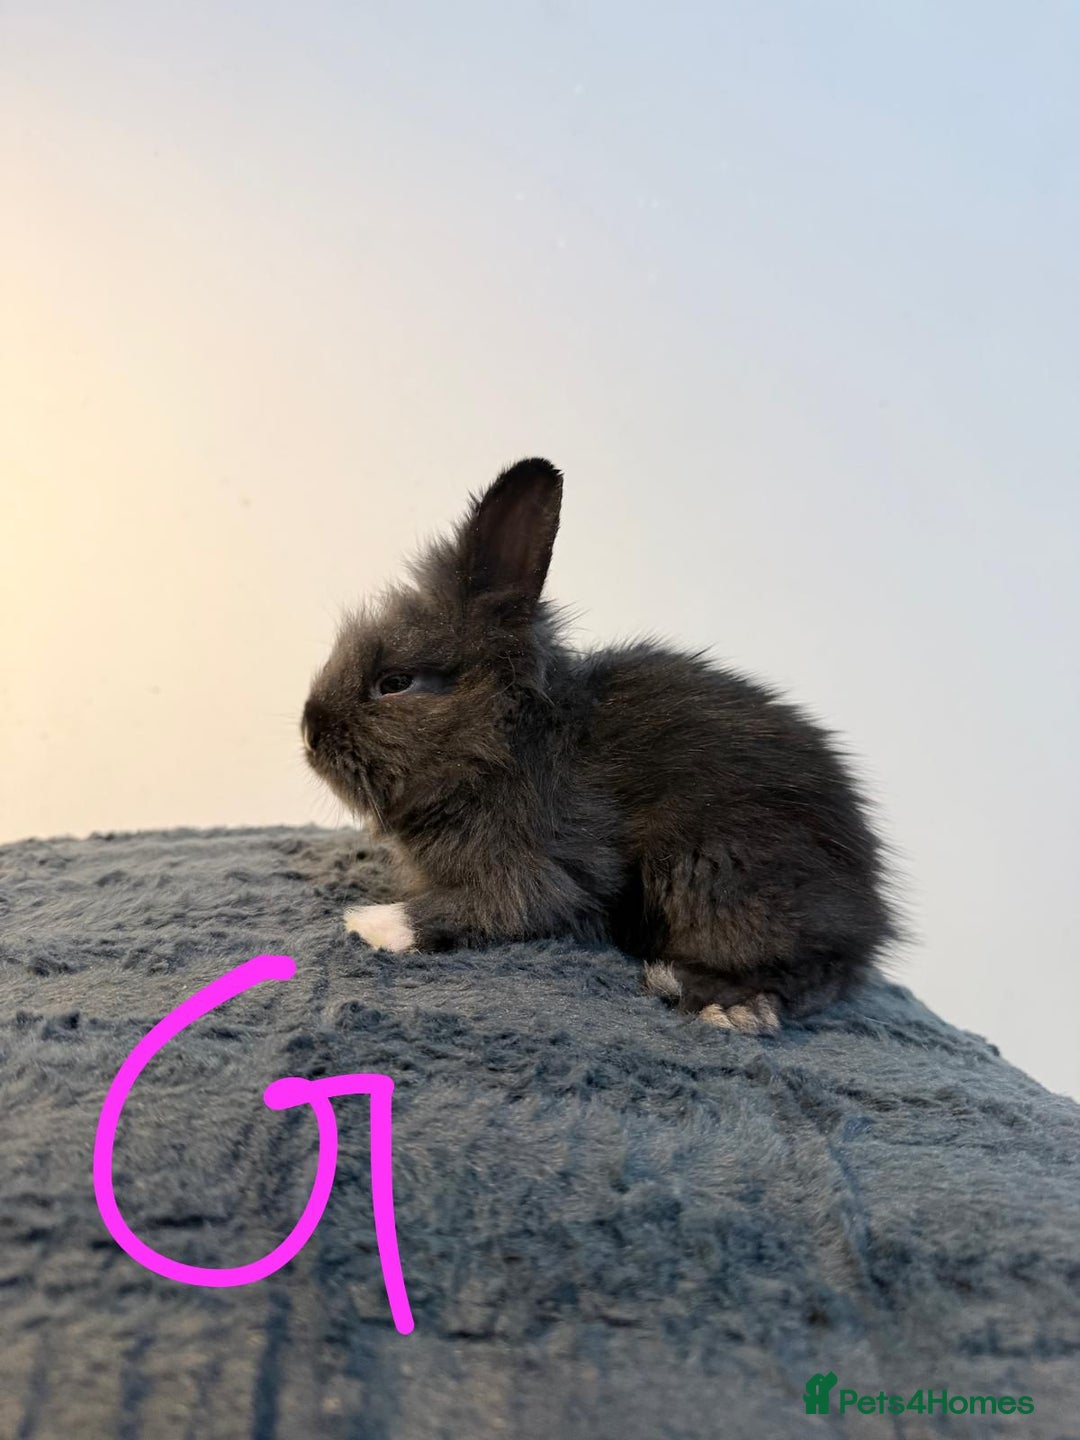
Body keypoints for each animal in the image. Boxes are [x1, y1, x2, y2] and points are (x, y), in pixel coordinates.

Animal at [301, 458, 897, 1032]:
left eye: (396, 683)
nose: (309, 732)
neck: (503, 744)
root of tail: (870, 913)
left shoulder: (543, 867)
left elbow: (496, 908)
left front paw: (370, 922)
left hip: (718, 872)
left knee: (811, 972)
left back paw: (717, 1000)